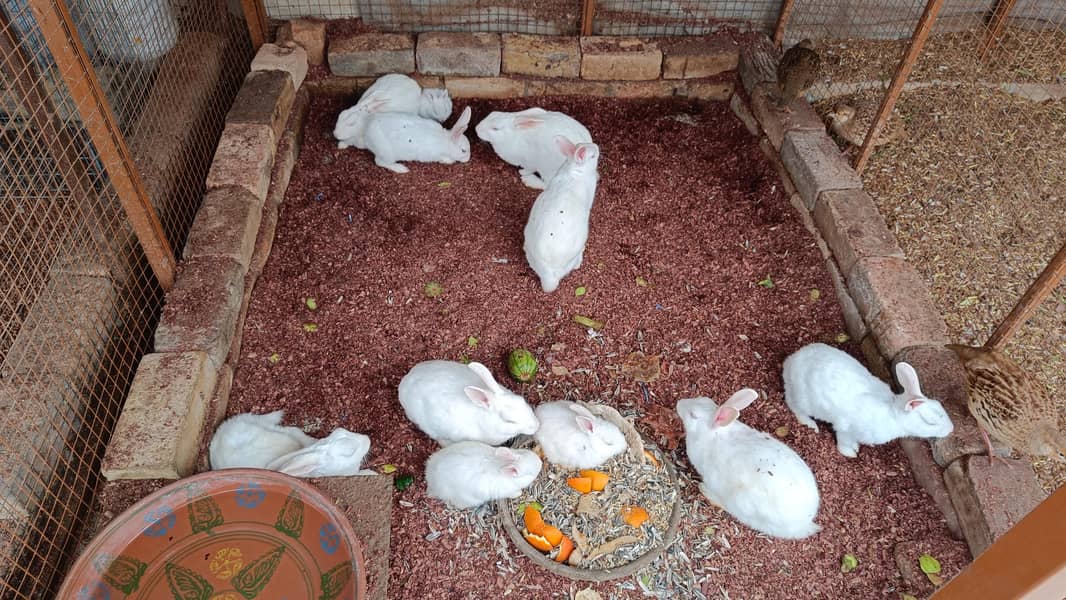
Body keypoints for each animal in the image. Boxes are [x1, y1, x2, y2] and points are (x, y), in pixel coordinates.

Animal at [678, 389, 821, 539]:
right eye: (704, 398)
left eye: (693, 415)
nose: (679, 402)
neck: (713, 433)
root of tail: (805, 522)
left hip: (741, 502)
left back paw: (706, 491)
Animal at [782, 342, 954, 458]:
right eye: (929, 421)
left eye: (939, 405)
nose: (950, 429)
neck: (893, 413)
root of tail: (789, 363)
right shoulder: (845, 429)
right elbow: (844, 442)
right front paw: (851, 453)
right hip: (802, 399)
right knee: (794, 406)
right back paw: (810, 424)